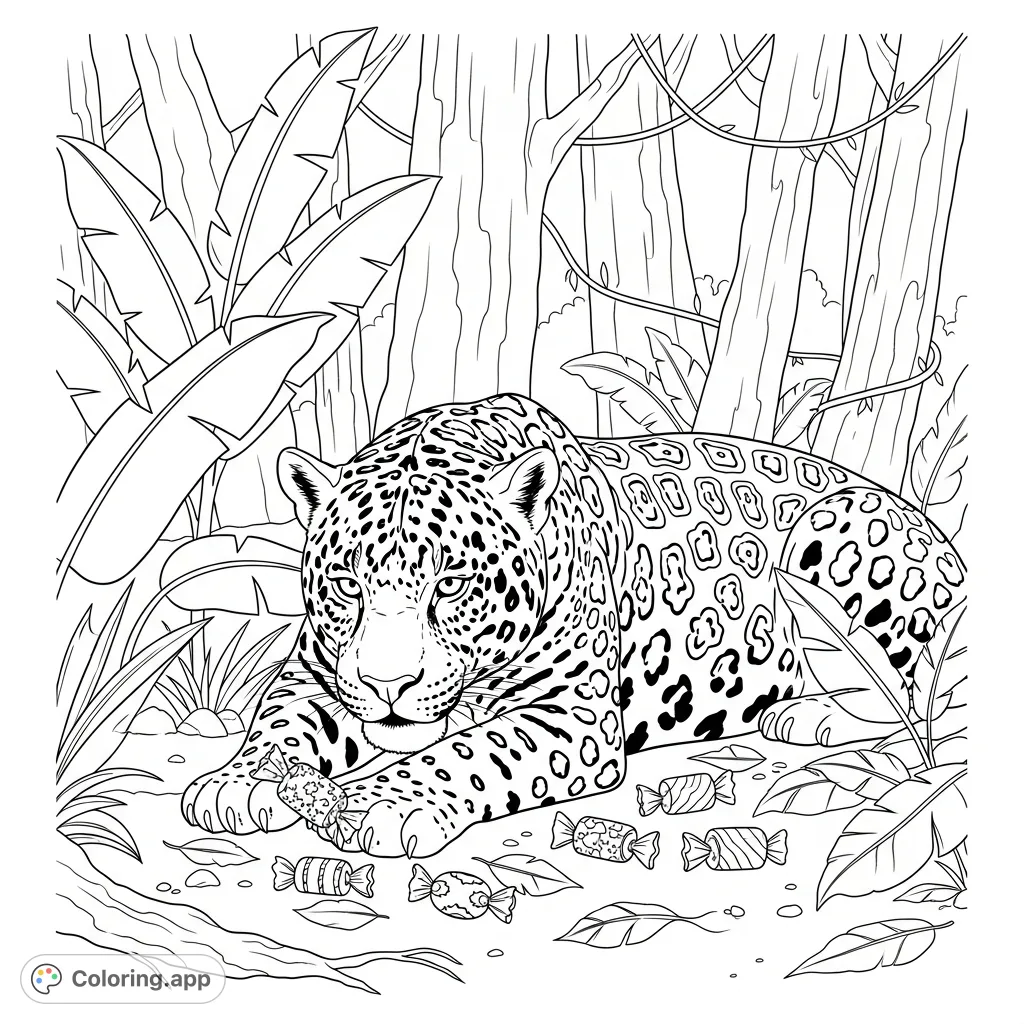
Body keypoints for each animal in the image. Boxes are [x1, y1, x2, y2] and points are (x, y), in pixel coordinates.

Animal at [182, 394, 965, 858]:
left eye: (452, 586)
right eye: (348, 585)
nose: (388, 685)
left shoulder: (573, 716)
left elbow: (469, 752)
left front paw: (382, 803)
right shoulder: (314, 673)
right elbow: (279, 721)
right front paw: (236, 782)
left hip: (840, 532)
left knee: (918, 694)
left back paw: (809, 717)